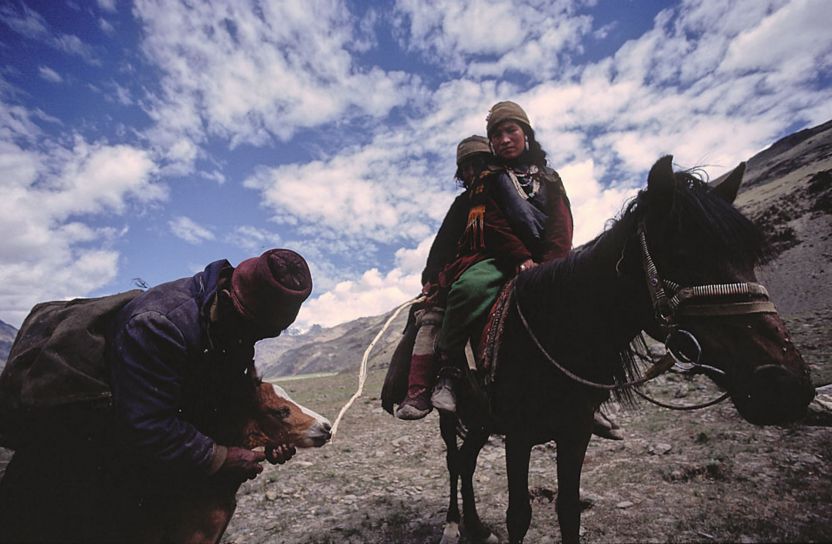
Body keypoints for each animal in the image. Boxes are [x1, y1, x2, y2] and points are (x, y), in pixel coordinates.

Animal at [436, 155, 812, 544]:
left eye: (750, 255)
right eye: (682, 255)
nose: (787, 385)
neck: (555, 330)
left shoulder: (576, 432)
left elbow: (568, 511)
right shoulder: (518, 435)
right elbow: (519, 516)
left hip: (482, 420)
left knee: (466, 460)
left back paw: (477, 527)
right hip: (454, 416)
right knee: (454, 459)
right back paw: (453, 524)